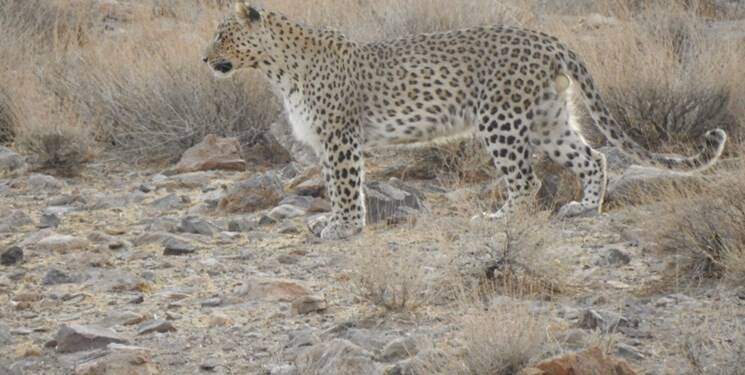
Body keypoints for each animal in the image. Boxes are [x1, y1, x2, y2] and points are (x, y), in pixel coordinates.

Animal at [201, 1, 724, 241]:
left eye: (223, 35)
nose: (205, 59)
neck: (275, 68)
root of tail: (549, 39)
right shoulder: (327, 142)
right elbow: (332, 184)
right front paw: (333, 222)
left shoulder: (340, 137)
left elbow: (345, 186)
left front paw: (344, 227)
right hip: (549, 121)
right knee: (593, 157)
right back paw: (584, 208)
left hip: (501, 119)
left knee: (527, 180)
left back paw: (500, 218)